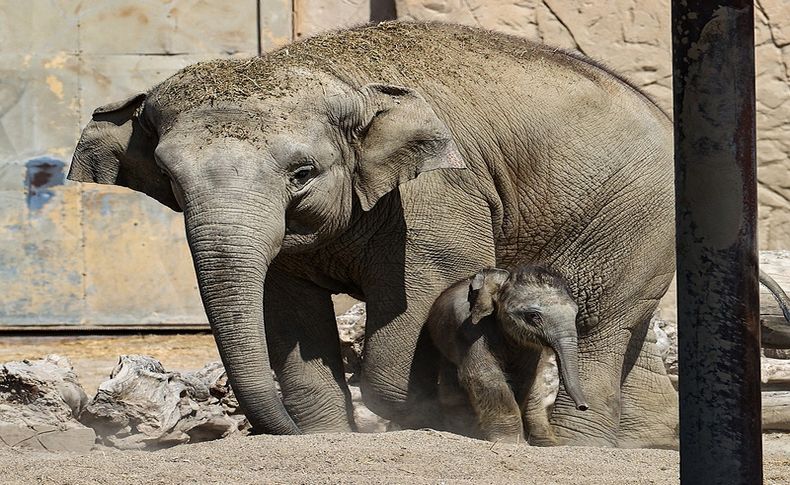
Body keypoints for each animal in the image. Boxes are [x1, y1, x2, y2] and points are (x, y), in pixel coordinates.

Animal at [426, 264, 588, 442]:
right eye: (533, 316)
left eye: (576, 313)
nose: (583, 406)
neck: (502, 282)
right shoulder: (466, 326)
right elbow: (485, 375)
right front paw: (510, 441)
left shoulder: (530, 345)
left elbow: (525, 377)